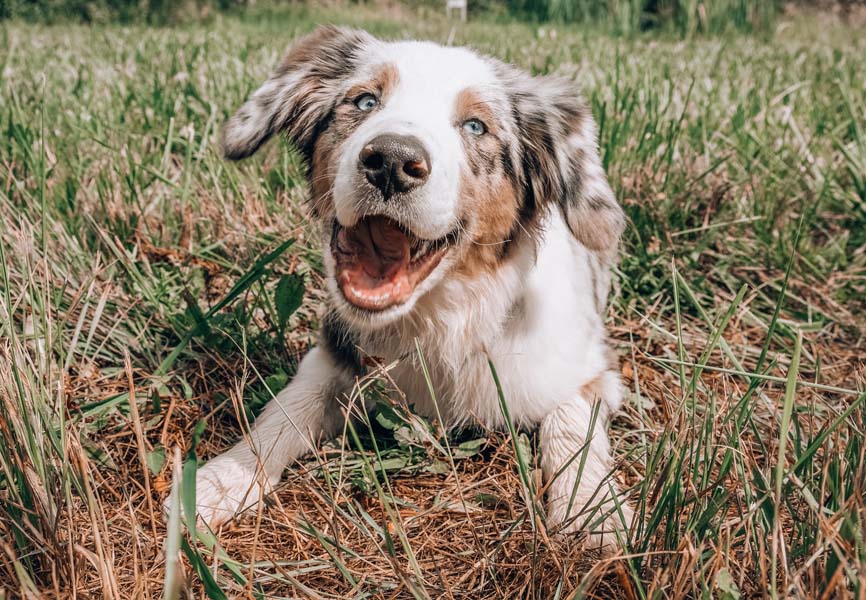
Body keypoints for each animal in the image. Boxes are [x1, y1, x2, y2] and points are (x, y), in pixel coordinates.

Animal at [192, 25, 632, 552]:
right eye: (364, 100)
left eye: (476, 127)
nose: (391, 161)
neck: (439, 320)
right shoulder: (334, 354)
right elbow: (284, 412)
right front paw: (219, 481)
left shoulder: (590, 369)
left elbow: (571, 424)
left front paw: (593, 514)